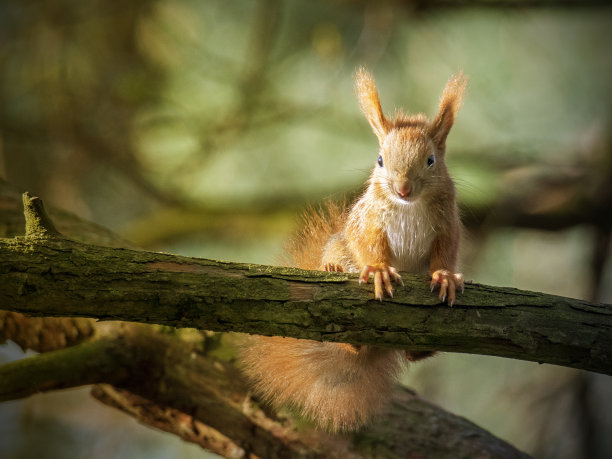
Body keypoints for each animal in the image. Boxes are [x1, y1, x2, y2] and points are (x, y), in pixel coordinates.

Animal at [241, 67, 466, 432]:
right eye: (380, 160)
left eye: (431, 160)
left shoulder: (447, 224)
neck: (409, 206)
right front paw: (379, 270)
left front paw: (445, 276)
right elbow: (368, 242)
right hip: (338, 248)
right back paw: (333, 272)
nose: (403, 188)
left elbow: (446, 251)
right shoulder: (368, 220)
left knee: (411, 354)